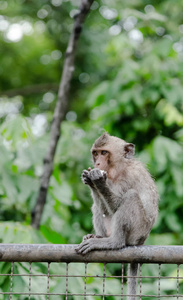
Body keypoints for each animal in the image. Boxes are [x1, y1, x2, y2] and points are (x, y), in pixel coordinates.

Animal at [76, 134, 159, 300]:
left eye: (104, 153)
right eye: (95, 153)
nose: (97, 163)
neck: (118, 170)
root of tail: (141, 241)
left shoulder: (129, 177)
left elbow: (116, 205)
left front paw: (98, 181)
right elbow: (103, 208)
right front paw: (90, 180)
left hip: (137, 231)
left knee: (131, 196)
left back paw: (113, 242)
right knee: (97, 207)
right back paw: (98, 237)